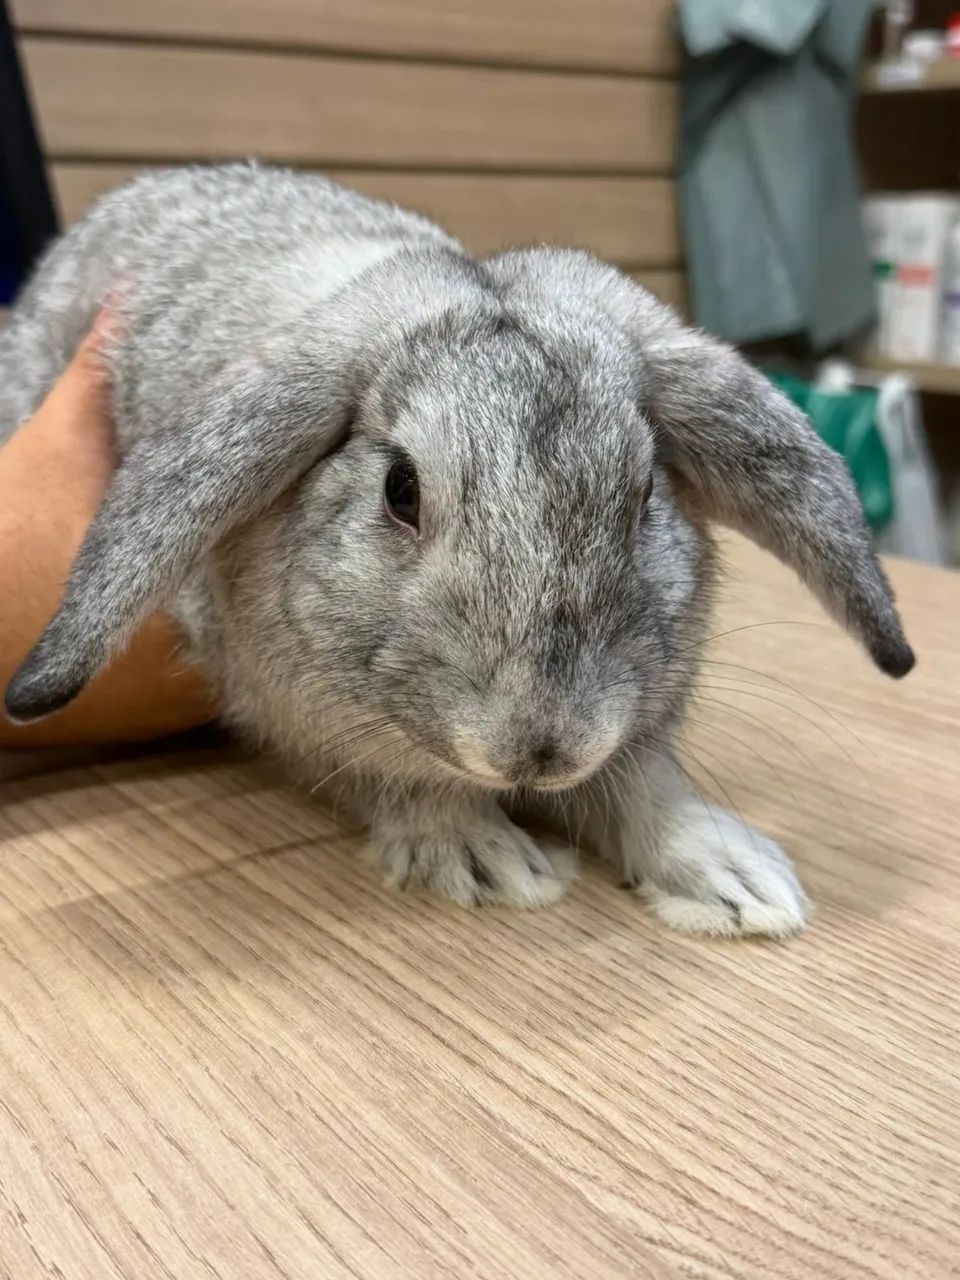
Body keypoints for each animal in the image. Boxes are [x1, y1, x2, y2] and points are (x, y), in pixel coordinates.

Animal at [1, 163, 914, 937]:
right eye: (399, 490)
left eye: (644, 493)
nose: (541, 749)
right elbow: (403, 781)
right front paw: (490, 862)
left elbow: (641, 782)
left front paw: (738, 883)